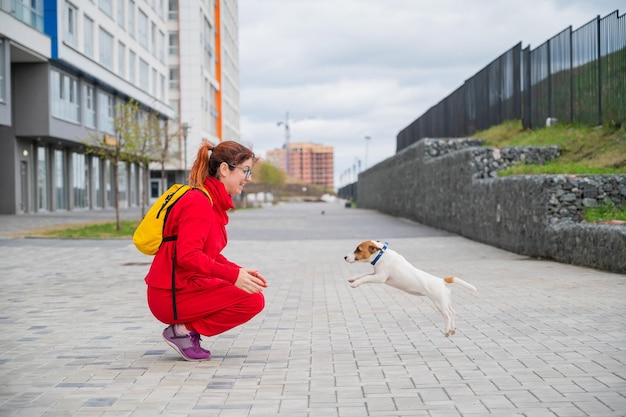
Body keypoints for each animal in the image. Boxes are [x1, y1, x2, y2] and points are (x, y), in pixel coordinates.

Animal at [344, 240, 476, 334]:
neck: (381, 255)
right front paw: (353, 278)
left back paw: (447, 331)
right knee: (452, 312)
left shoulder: (380, 277)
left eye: (358, 250)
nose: (345, 257)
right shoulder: (375, 274)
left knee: (448, 314)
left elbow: (365, 278)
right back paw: (452, 329)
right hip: (445, 301)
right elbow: (364, 275)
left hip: (439, 303)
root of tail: (442, 281)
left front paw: (355, 284)